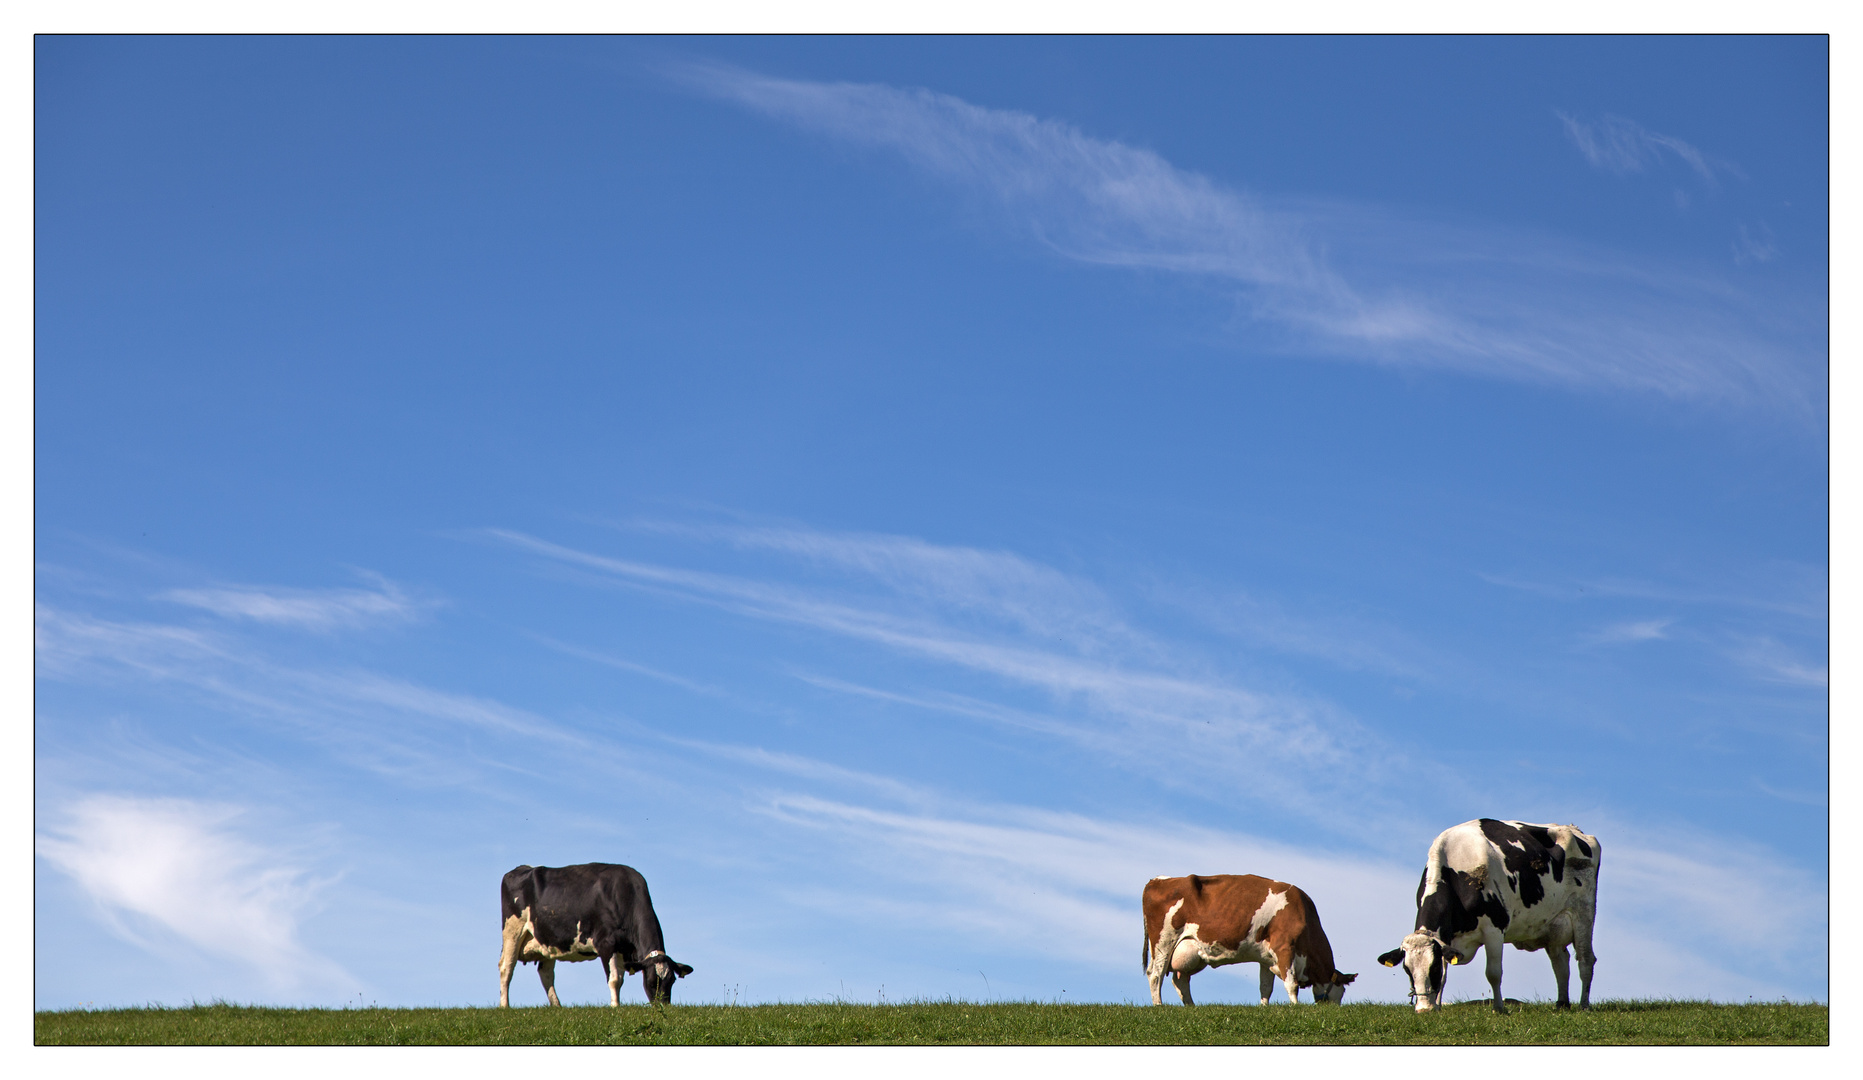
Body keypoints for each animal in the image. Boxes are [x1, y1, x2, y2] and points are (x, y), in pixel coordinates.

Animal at [499, 864, 696, 1005]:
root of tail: (522, 868)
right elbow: (615, 979)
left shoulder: (622, 949)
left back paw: (557, 1007)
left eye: (671, 981)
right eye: (651, 981)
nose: (663, 1006)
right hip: (512, 930)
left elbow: (620, 978)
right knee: (506, 967)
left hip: (547, 941)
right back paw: (505, 1007)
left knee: (546, 973)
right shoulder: (606, 944)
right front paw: (615, 1007)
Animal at [1132, 871, 1356, 1005]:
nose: (1333, 1010)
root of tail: (1158, 880)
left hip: (1189, 950)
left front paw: (1264, 1008)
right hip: (1163, 941)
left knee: (1180, 981)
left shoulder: (1267, 958)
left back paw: (1191, 1007)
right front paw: (1296, 1008)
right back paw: (1159, 1006)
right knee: (1156, 975)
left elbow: (1266, 987)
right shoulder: (1285, 947)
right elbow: (1291, 984)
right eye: (1341, 993)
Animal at [1371, 823, 1602, 1020]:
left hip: (1584, 913)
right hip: (1553, 925)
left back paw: (1584, 1005)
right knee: (1560, 962)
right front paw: (1437, 1006)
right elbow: (1445, 978)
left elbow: (1493, 973)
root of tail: (1575, 830)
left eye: (1433, 968)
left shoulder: (1494, 929)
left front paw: (1498, 1008)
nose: (1423, 1010)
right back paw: (1562, 1004)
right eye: (1407, 970)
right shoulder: (1447, 937)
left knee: (1585, 960)